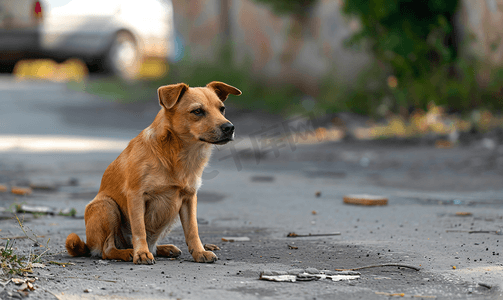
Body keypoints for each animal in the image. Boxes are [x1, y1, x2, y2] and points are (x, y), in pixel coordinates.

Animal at [65, 81, 242, 264]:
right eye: (197, 111)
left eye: (222, 109)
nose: (229, 127)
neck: (176, 155)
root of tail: (89, 244)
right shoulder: (136, 196)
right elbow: (139, 229)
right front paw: (141, 253)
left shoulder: (189, 199)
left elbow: (193, 230)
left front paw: (200, 252)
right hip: (107, 206)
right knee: (107, 250)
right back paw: (128, 252)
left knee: (152, 245)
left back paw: (163, 249)